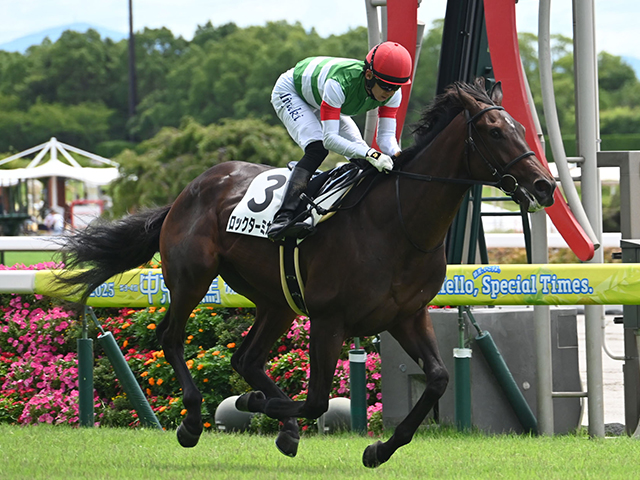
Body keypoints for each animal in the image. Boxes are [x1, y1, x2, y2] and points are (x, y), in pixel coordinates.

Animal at [57, 79, 555, 468]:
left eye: (519, 127)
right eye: (494, 131)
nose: (544, 185)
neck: (398, 224)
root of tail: (188, 190)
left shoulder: (407, 316)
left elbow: (436, 379)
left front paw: (379, 449)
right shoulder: (329, 319)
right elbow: (316, 399)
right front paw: (252, 404)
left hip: (276, 301)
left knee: (246, 359)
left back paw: (282, 425)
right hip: (192, 277)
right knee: (172, 337)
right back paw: (196, 419)